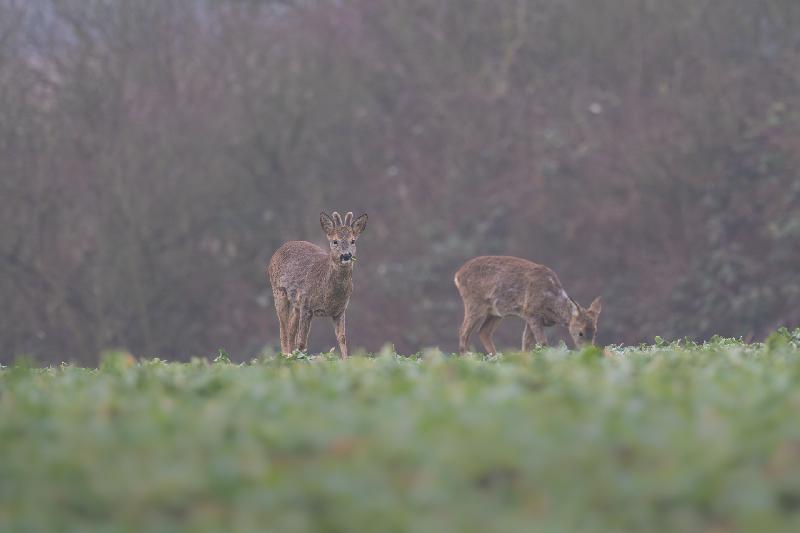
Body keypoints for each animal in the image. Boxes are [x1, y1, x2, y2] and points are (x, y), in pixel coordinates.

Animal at [268, 211, 368, 358]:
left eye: (353, 240)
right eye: (335, 241)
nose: (346, 255)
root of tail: (280, 248)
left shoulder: (340, 310)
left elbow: (342, 338)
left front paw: (346, 360)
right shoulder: (307, 306)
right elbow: (302, 342)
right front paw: (302, 360)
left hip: (296, 303)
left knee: (291, 328)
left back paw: (290, 355)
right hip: (279, 292)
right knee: (283, 328)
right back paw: (286, 357)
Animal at [454, 256, 602, 355]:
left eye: (595, 331)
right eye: (580, 333)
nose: (589, 351)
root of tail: (457, 275)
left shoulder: (532, 316)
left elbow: (526, 342)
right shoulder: (531, 311)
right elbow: (542, 342)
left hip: (496, 312)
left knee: (483, 331)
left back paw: (495, 357)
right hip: (474, 303)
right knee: (463, 331)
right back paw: (466, 356)